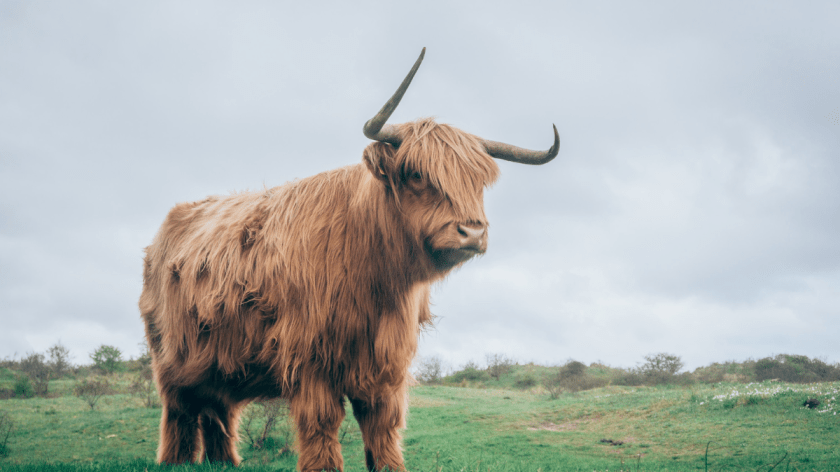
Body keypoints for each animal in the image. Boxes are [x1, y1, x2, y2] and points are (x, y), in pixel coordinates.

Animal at [139, 48, 556, 472]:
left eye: (478, 182)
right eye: (416, 174)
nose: (472, 232)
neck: (376, 280)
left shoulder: (386, 363)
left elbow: (383, 424)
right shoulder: (309, 357)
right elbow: (322, 422)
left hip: (219, 361)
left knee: (218, 409)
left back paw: (224, 462)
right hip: (171, 358)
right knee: (180, 410)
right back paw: (175, 461)